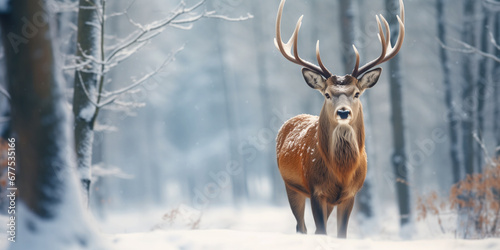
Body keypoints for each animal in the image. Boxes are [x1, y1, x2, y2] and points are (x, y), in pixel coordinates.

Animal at [276, 0, 404, 237]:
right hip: (291, 185)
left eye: (357, 93)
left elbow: (341, 234)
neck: (341, 173)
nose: (343, 112)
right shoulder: (316, 190)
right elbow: (321, 231)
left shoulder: (350, 194)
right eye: (327, 94)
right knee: (301, 227)